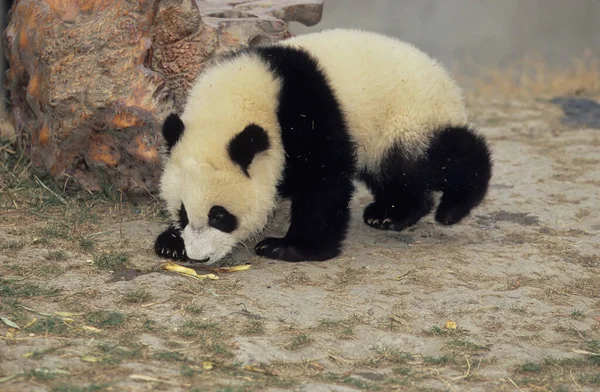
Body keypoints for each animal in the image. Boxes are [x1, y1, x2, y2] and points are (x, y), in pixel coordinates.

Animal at [154, 29, 492, 264]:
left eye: (219, 216)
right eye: (183, 213)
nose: (199, 257)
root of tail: (446, 80)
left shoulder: (306, 115)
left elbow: (323, 179)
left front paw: (289, 247)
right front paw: (170, 242)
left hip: (407, 118)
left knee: (432, 159)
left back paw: (454, 206)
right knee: (396, 174)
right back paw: (392, 213)